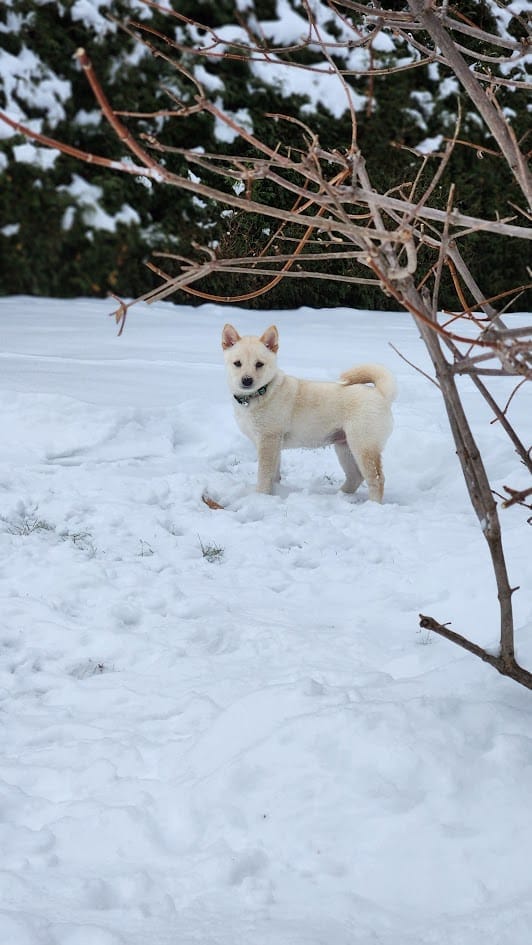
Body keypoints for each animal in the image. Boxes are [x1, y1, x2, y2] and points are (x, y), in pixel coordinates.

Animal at [220, 324, 394, 502]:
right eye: (237, 363)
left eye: (259, 364)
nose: (247, 380)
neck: (261, 393)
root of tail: (380, 393)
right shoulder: (273, 444)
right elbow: (274, 475)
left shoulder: (268, 441)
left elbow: (264, 475)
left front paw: (261, 497)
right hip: (344, 447)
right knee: (355, 477)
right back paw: (340, 496)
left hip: (363, 447)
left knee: (376, 479)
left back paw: (372, 504)